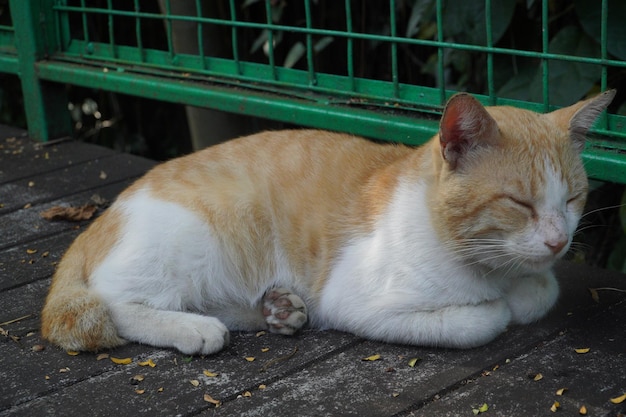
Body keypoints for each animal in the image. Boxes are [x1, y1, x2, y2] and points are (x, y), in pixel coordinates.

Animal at [40, 89, 616, 352]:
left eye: (573, 199)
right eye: (519, 203)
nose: (559, 241)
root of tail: (108, 212)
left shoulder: (537, 273)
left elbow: (541, 290)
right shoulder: (353, 300)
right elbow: (486, 318)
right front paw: (497, 306)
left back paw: (277, 309)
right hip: (201, 237)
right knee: (112, 301)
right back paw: (194, 327)